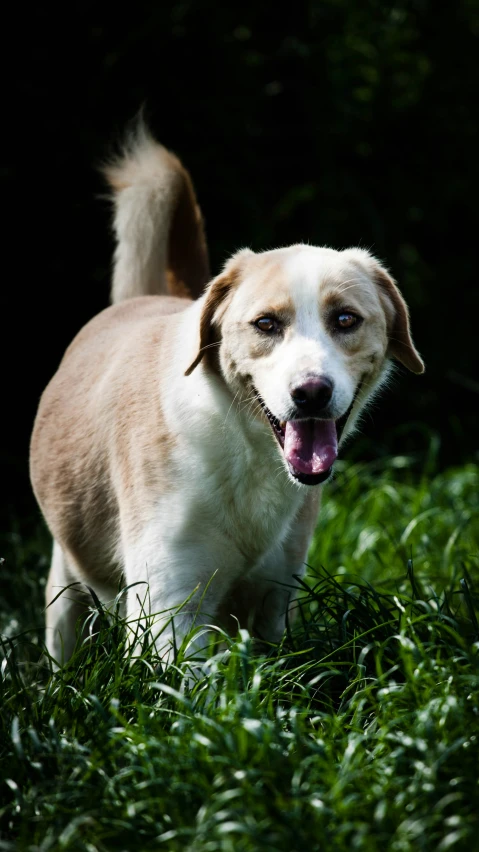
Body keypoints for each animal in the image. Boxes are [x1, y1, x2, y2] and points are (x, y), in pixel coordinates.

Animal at [30, 125, 424, 664]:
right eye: (266, 324)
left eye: (345, 319)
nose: (311, 393)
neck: (245, 449)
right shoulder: (169, 616)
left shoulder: (276, 603)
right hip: (65, 589)